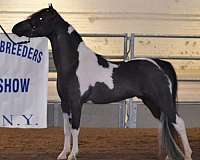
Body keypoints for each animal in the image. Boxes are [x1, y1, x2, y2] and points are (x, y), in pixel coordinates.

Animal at [12, 5, 192, 160]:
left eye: (41, 17)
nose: (15, 28)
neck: (74, 64)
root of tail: (161, 64)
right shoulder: (65, 104)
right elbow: (66, 130)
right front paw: (63, 154)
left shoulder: (76, 103)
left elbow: (75, 129)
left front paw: (73, 154)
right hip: (152, 103)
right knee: (167, 124)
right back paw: (169, 155)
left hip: (163, 100)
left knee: (179, 123)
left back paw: (188, 154)